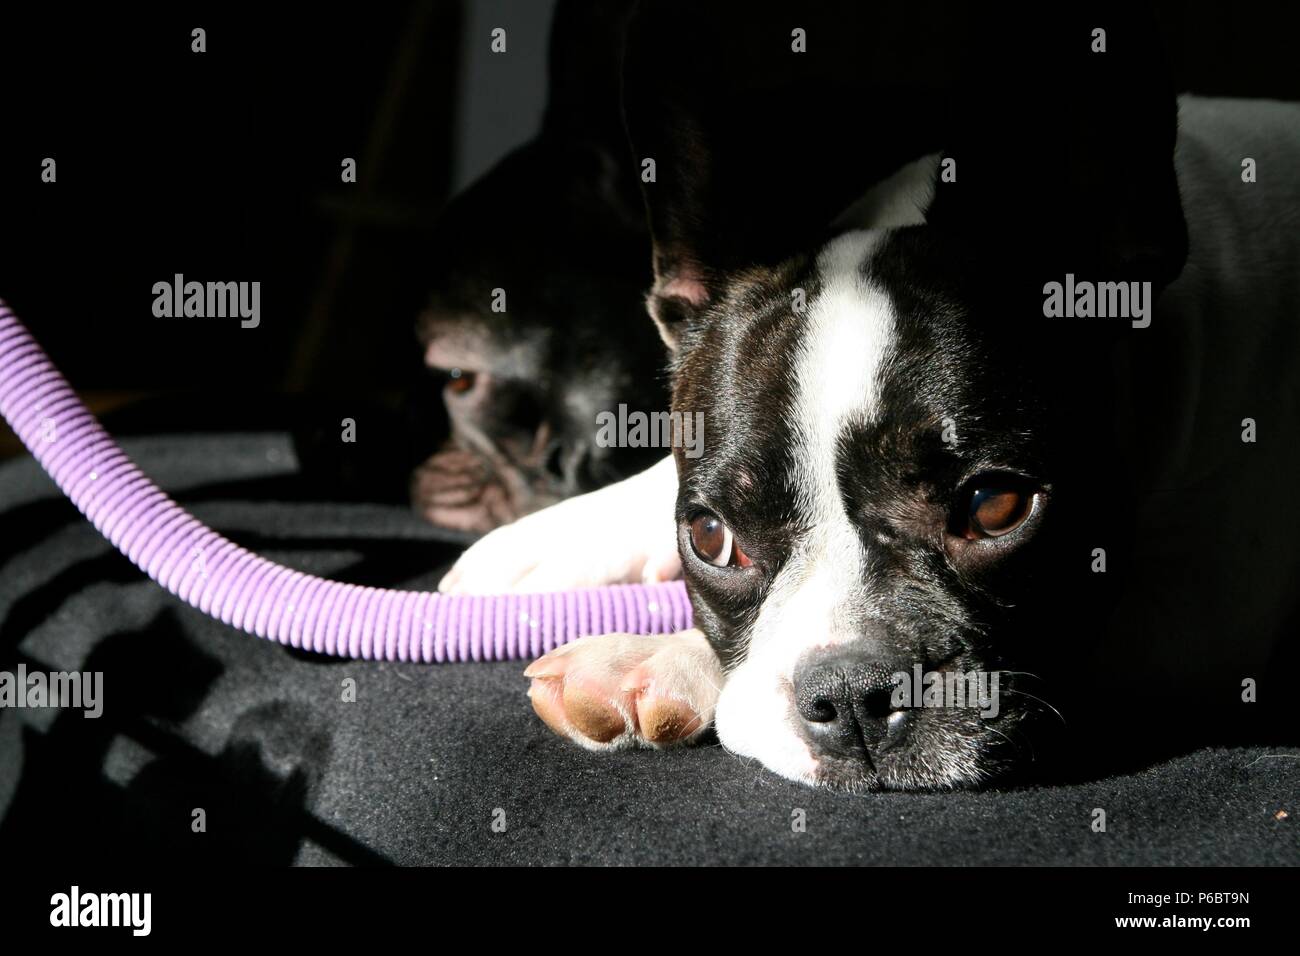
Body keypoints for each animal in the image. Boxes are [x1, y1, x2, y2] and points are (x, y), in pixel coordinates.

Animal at [439, 1, 1300, 790]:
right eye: (712, 538)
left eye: (997, 507)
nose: (852, 690)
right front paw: (559, 539)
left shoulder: (1200, 615)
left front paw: (652, 654)